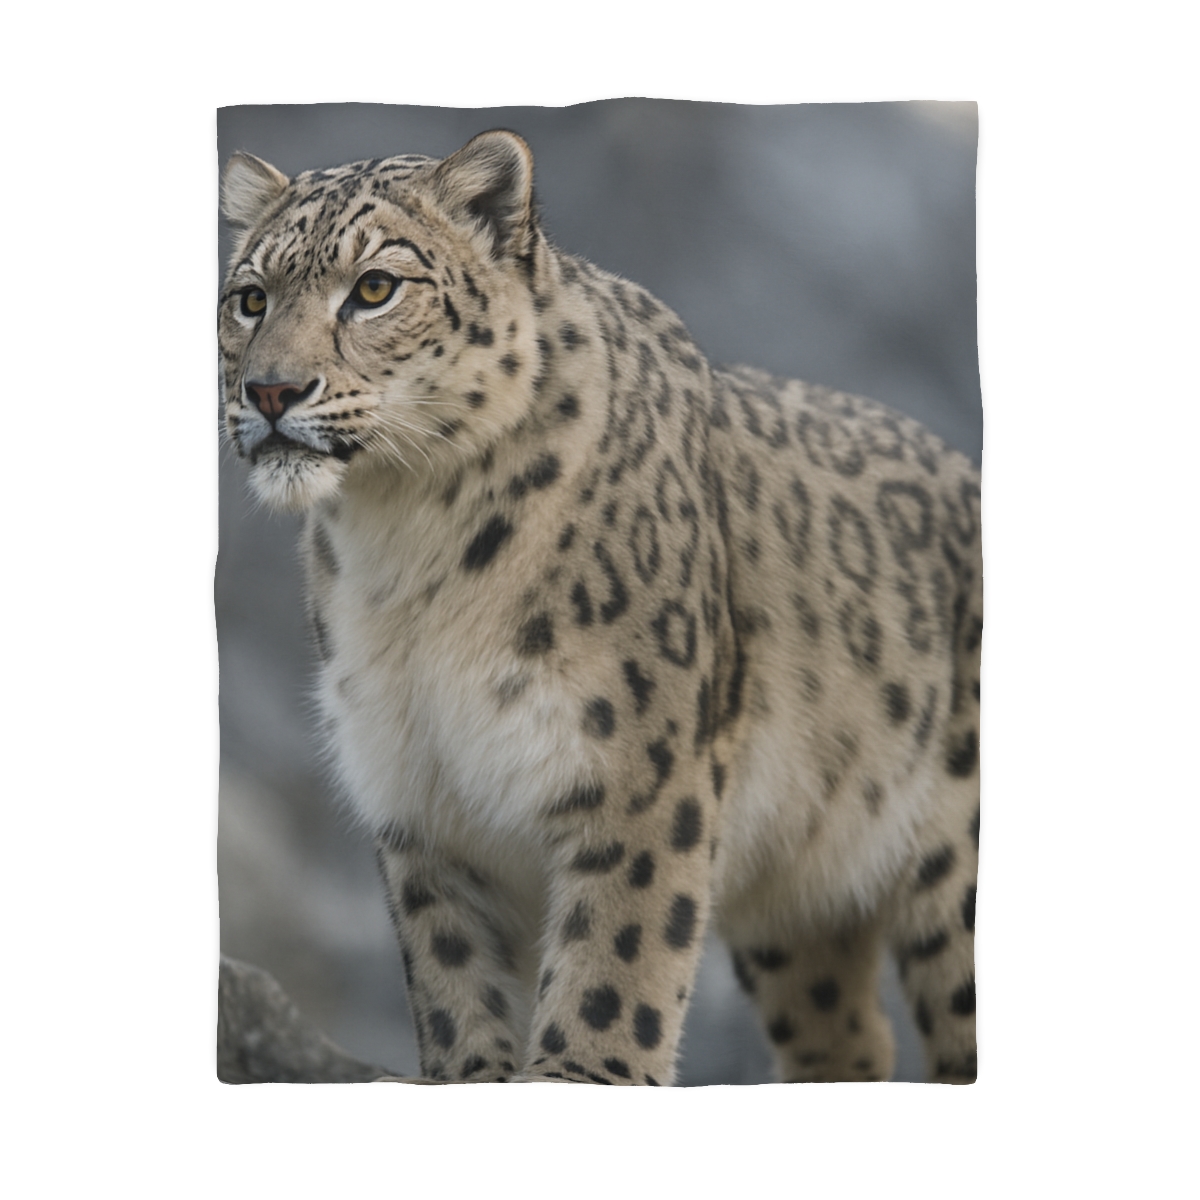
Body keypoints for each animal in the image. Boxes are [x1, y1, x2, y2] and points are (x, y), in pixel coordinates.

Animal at [218, 129, 981, 1085]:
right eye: (249, 298)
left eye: (375, 288)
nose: (270, 392)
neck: (405, 549)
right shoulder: (417, 798)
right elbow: (452, 978)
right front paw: (473, 1073)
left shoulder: (639, 771)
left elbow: (614, 958)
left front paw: (582, 1071)